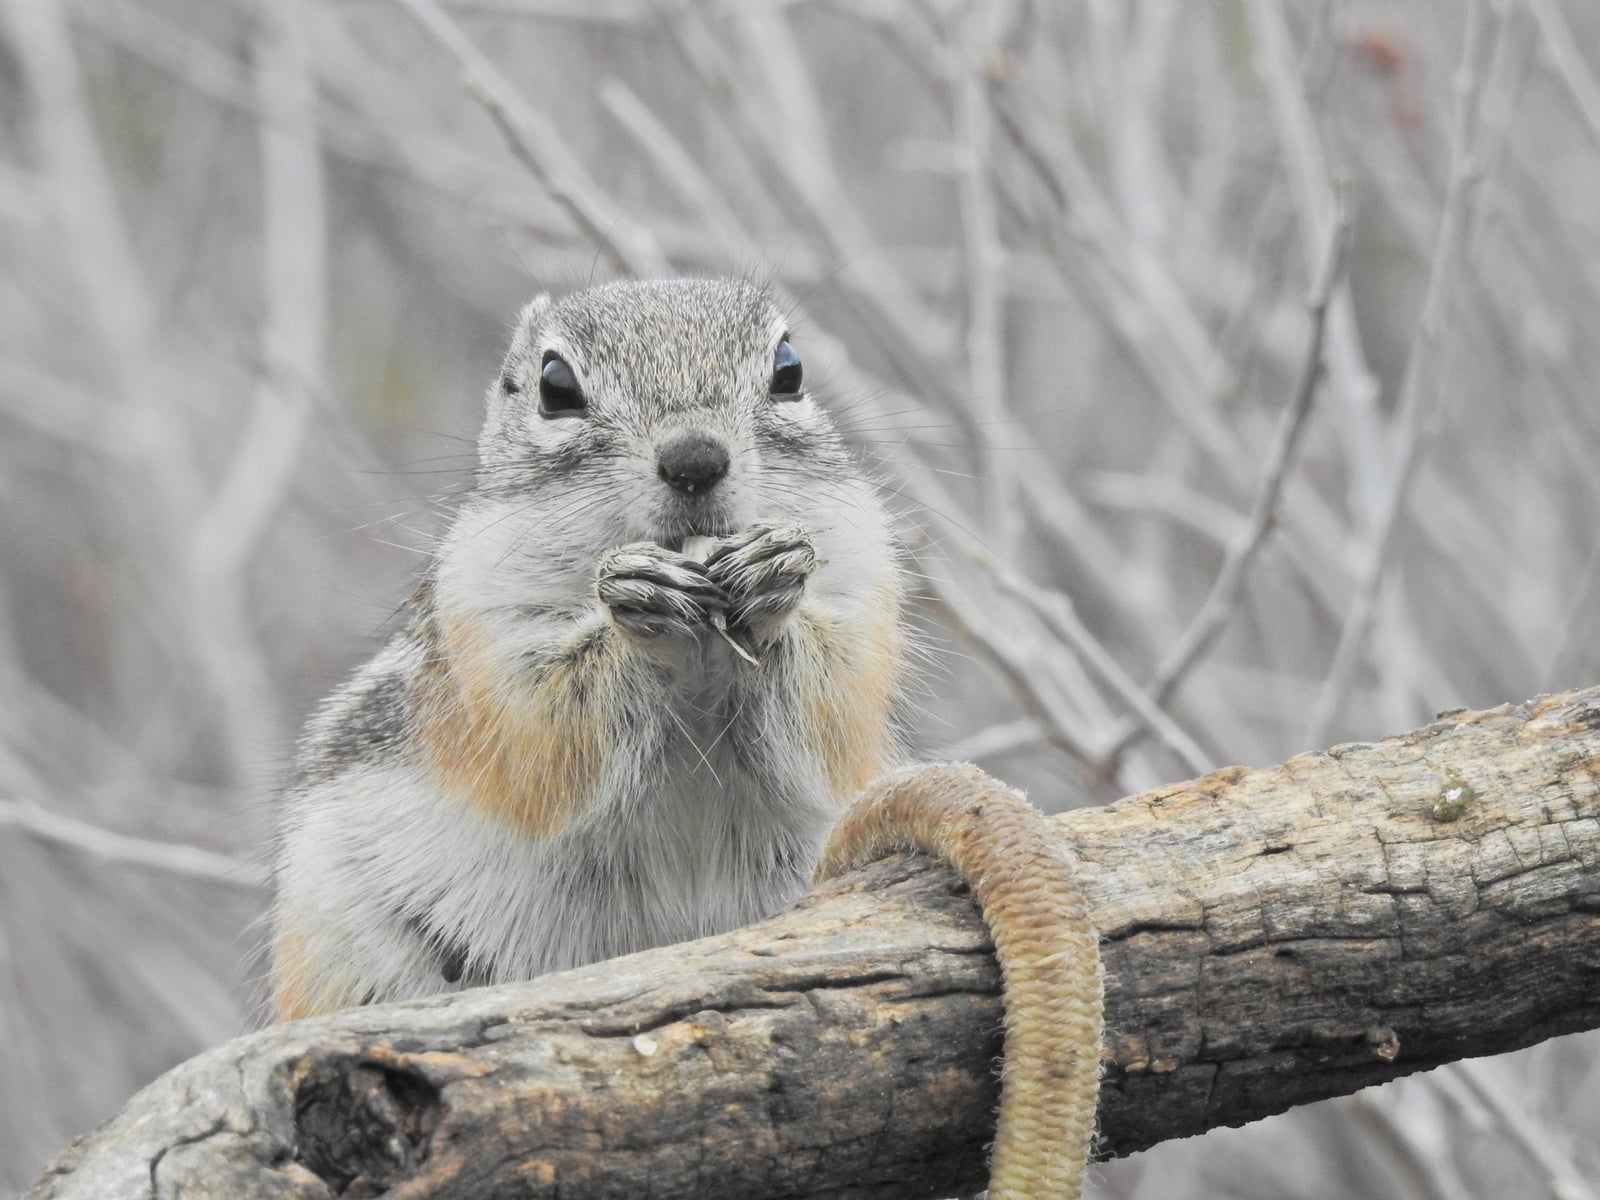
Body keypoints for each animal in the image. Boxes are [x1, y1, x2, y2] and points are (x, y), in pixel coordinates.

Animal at [269, 278, 906, 1019]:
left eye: (789, 370)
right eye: (556, 386)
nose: (695, 459)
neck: (701, 655)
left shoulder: (865, 596)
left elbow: (835, 710)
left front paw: (770, 576)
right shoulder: (485, 634)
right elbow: (546, 739)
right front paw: (637, 601)